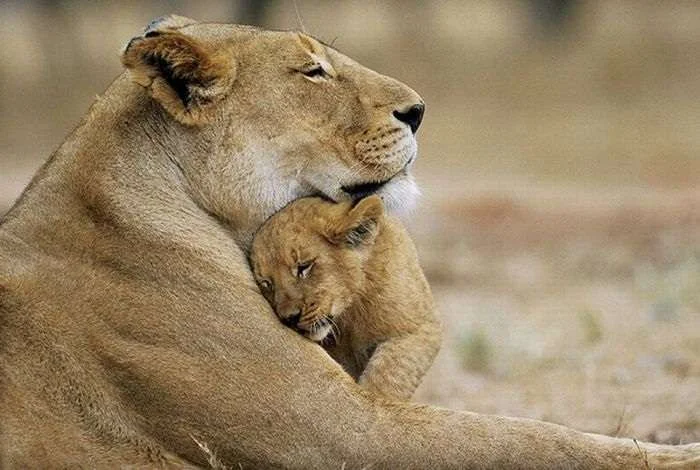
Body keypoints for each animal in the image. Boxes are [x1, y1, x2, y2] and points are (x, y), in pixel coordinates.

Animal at [250, 195, 441, 400]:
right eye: (266, 283)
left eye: (304, 267)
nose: (290, 318)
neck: (349, 313)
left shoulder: (421, 327)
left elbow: (388, 375)